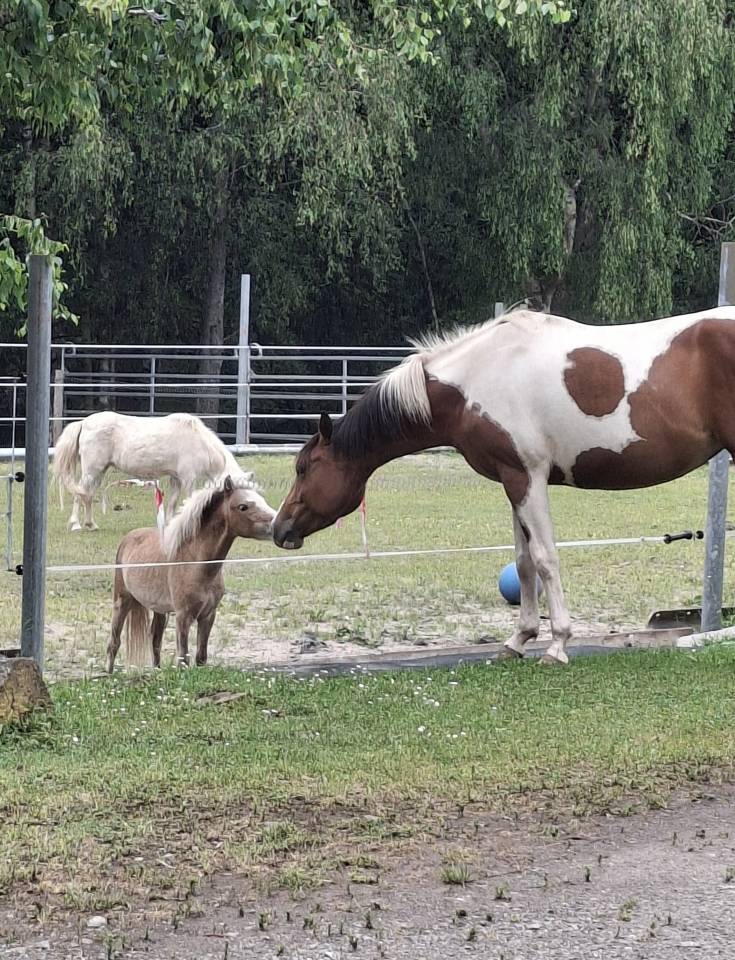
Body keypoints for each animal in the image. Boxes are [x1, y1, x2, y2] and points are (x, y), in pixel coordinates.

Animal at [53, 411, 251, 531]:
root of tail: (84, 422)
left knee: (87, 495)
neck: (199, 441)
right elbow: (190, 499)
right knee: (80, 494)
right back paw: (76, 524)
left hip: (99, 472)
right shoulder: (189, 478)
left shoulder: (176, 479)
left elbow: (172, 503)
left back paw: (91, 524)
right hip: (91, 471)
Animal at [106, 475, 276, 672]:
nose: (275, 526)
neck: (195, 563)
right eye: (243, 506)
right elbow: (183, 659)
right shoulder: (183, 617)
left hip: (159, 610)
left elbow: (201, 657)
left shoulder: (208, 616)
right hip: (122, 601)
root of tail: (128, 538)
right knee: (114, 642)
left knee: (155, 639)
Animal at [273, 305, 735, 665]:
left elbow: (545, 559)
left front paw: (558, 645)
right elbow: (524, 561)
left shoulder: (526, 477)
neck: (475, 381)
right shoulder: (512, 480)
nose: (280, 529)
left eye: (304, 468)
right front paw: (519, 640)